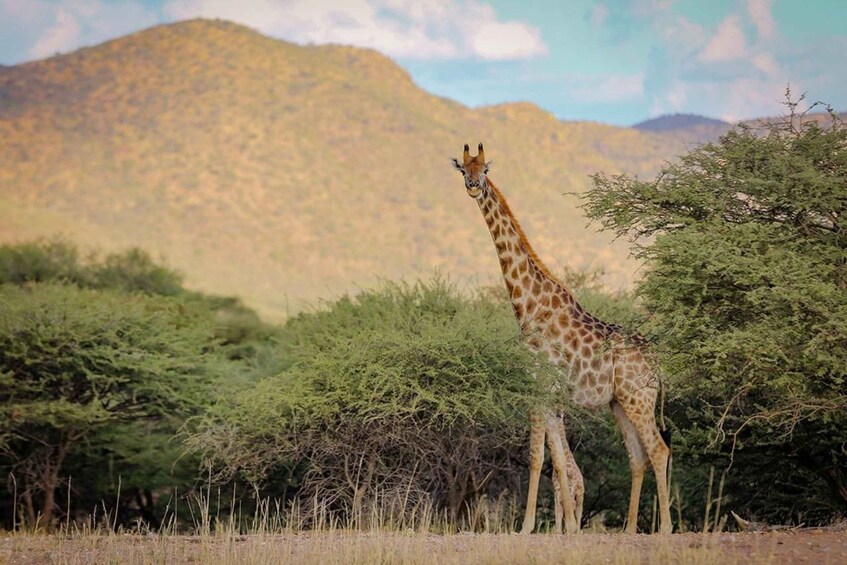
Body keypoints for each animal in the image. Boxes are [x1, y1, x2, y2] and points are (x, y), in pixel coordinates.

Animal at [451, 143, 672, 535]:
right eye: (463, 169)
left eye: (485, 169)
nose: (474, 187)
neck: (526, 306)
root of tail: (656, 363)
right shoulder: (550, 391)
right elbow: (555, 457)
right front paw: (568, 525)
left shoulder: (539, 385)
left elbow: (539, 457)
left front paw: (527, 527)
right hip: (620, 402)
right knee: (637, 456)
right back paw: (630, 528)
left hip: (637, 399)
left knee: (658, 450)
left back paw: (665, 529)